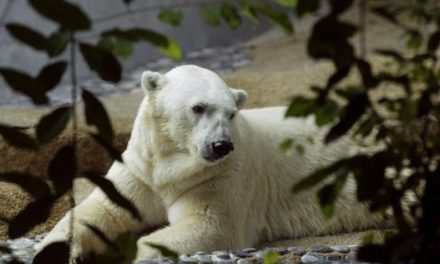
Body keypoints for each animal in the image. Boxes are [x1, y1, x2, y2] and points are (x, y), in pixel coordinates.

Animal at [37, 64, 382, 262]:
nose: (221, 145)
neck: (169, 165)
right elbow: (101, 211)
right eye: (198, 107)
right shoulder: (139, 170)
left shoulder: (221, 175)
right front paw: (52, 252)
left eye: (231, 113)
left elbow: (210, 225)